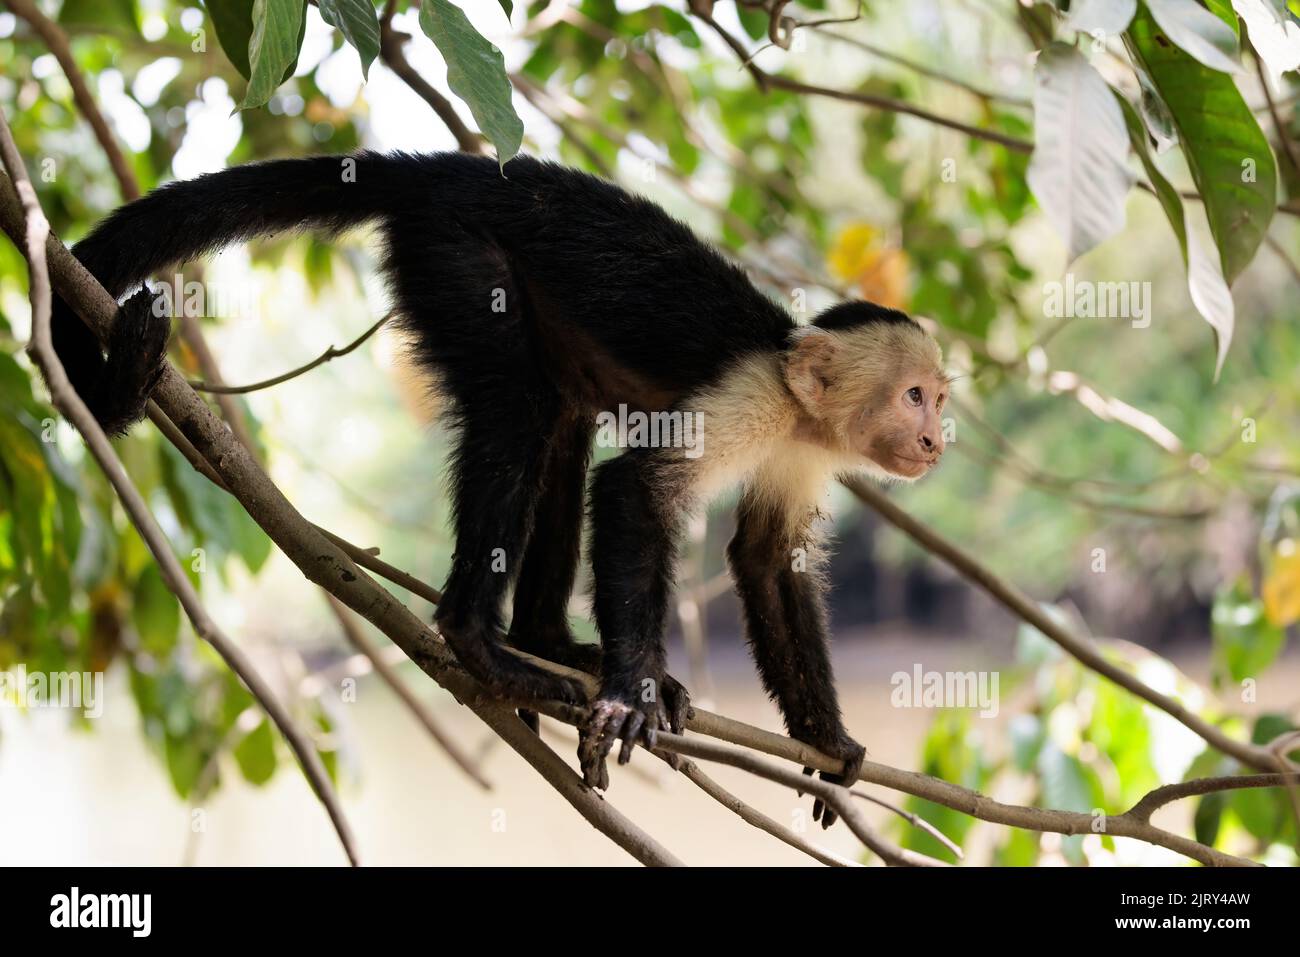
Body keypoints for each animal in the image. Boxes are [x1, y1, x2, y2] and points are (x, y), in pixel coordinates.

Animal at [53, 149, 946, 821]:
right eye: (913, 395)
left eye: (939, 396)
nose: (938, 440)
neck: (797, 404)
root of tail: (448, 168)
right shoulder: (750, 397)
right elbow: (634, 489)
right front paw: (634, 690)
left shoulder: (803, 448)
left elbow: (764, 555)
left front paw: (827, 741)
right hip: (454, 252)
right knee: (521, 410)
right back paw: (480, 643)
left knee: (561, 420)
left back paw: (547, 639)